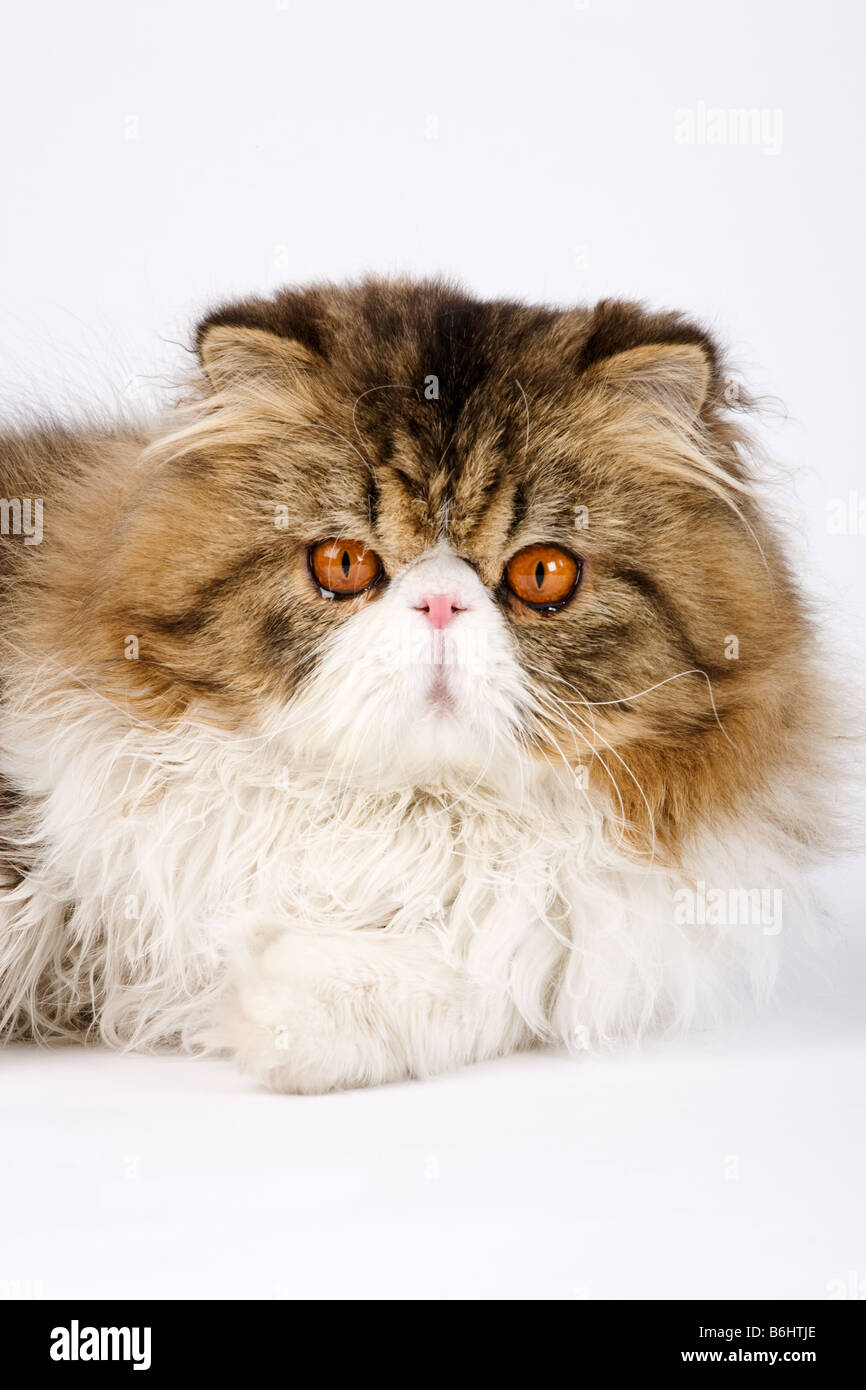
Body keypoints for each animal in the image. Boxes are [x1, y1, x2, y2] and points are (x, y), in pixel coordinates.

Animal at [0, 276, 839, 1089]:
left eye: (543, 573)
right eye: (343, 563)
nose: (440, 602)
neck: (408, 811)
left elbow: (490, 974)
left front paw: (284, 1007)